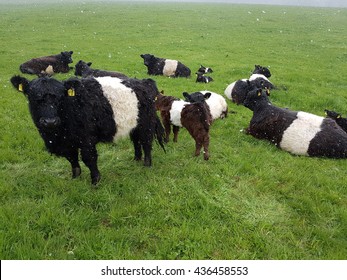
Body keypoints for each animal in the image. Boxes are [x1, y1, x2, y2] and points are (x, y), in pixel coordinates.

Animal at [10, 74, 166, 186]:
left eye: (60, 97)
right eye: (33, 97)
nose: (50, 121)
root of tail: (145, 82)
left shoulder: (86, 139)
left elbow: (89, 158)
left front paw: (95, 181)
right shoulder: (68, 142)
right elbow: (72, 158)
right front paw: (75, 177)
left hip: (146, 123)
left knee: (146, 142)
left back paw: (146, 164)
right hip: (134, 124)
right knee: (136, 141)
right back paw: (136, 159)